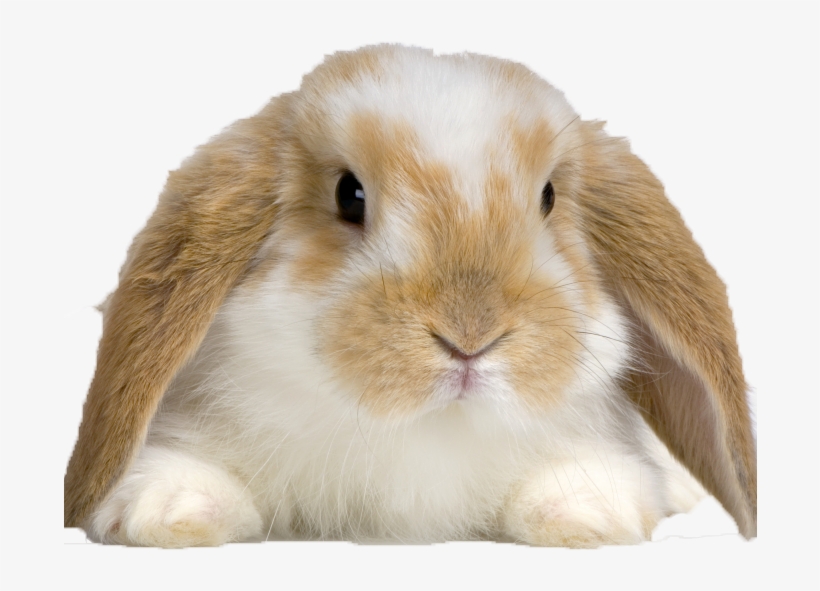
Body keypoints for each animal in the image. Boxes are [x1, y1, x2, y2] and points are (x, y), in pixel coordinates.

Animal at [64, 44, 757, 548]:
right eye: (349, 194)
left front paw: (586, 513)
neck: (423, 430)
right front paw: (171, 511)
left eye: (549, 197)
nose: (470, 337)